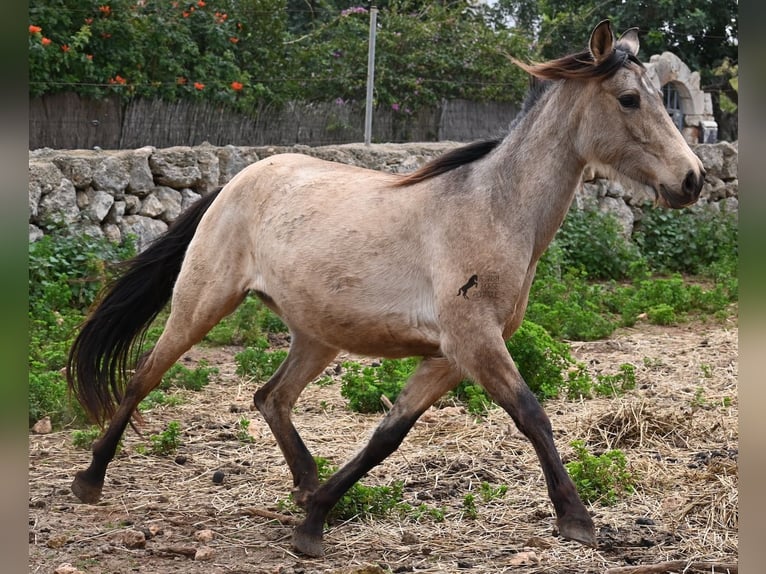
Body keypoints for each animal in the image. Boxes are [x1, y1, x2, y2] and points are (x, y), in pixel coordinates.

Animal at [69, 21, 704, 560]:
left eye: (659, 96)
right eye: (629, 99)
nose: (692, 179)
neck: (493, 210)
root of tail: (234, 182)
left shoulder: (450, 357)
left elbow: (386, 436)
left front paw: (314, 523)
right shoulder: (475, 342)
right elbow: (532, 415)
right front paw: (577, 519)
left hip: (317, 335)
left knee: (270, 397)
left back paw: (305, 486)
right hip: (202, 303)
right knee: (144, 376)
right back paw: (89, 481)